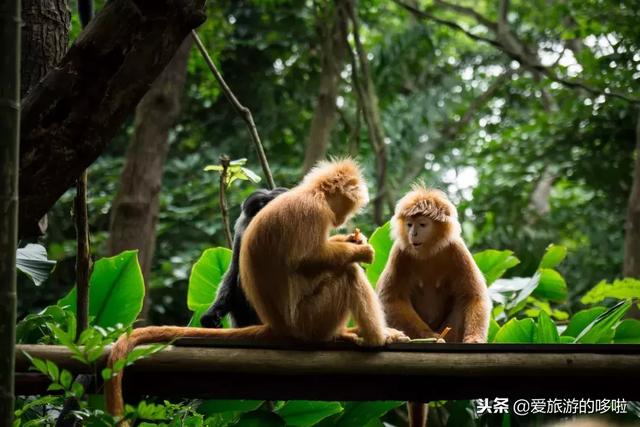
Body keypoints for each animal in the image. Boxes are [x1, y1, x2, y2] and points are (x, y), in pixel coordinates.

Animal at [376, 186, 490, 344]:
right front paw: (430, 336)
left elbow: (473, 296)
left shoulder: (457, 248)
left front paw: (475, 338)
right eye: (409, 224)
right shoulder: (399, 252)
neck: (428, 251)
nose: (413, 234)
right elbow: (392, 299)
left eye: (422, 224)